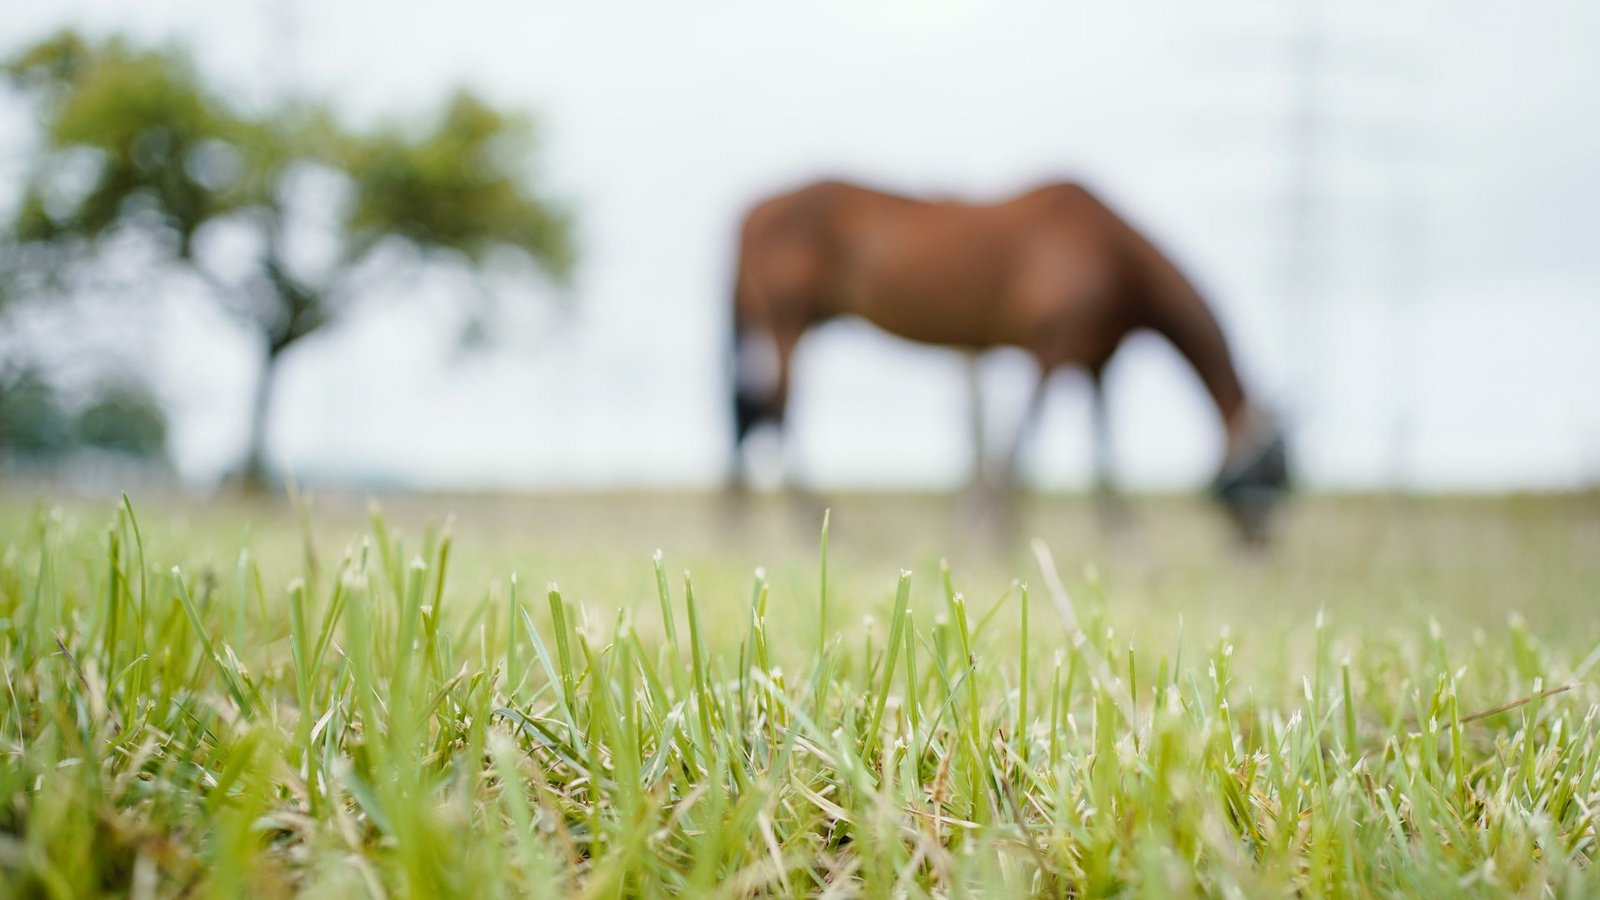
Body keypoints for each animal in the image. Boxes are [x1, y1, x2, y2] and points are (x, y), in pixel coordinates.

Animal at [726, 179, 1289, 542]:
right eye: (1276, 467)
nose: (1262, 542)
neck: (1115, 257)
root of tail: (751, 208)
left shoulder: (1097, 358)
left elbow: (1102, 445)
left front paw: (1123, 535)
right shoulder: (1052, 346)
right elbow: (1023, 439)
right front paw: (992, 527)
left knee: (753, 410)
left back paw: (738, 523)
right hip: (788, 320)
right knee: (776, 406)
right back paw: (810, 524)